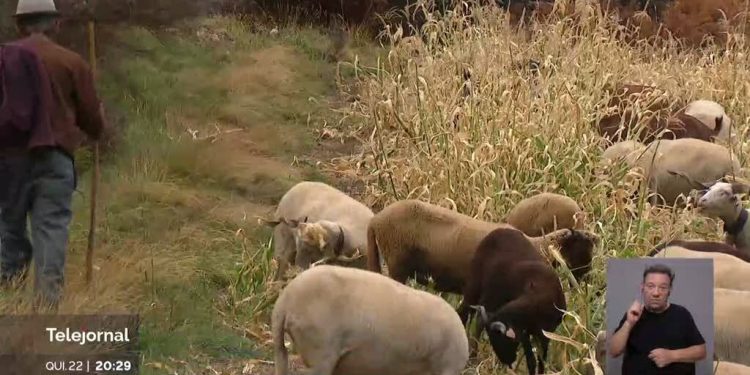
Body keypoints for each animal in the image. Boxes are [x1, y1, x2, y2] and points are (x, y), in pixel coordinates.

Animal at [456, 226, 568, 375]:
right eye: (493, 340)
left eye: (501, 340)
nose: (508, 362)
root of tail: (500, 229)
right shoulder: (525, 333)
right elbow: (531, 361)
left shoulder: (544, 333)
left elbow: (540, 360)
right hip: (477, 288)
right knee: (467, 315)